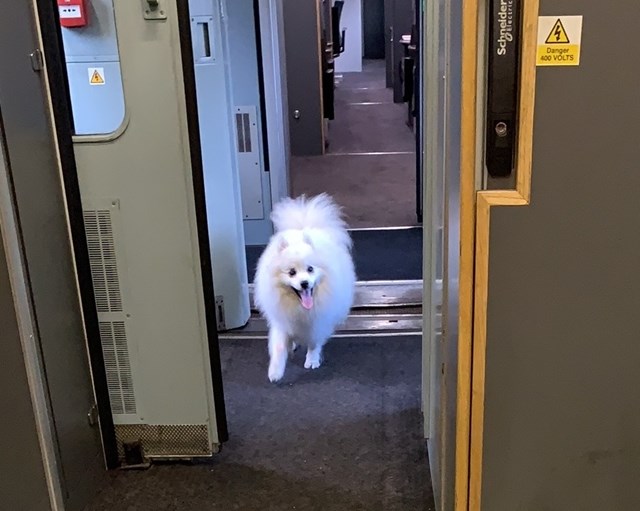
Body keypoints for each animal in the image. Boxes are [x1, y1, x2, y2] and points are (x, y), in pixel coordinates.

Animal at [254, 194, 356, 382]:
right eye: (291, 272)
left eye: (310, 269)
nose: (304, 283)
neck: (300, 308)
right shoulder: (281, 318)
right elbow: (278, 346)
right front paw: (275, 371)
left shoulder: (319, 320)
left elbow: (314, 342)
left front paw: (312, 360)